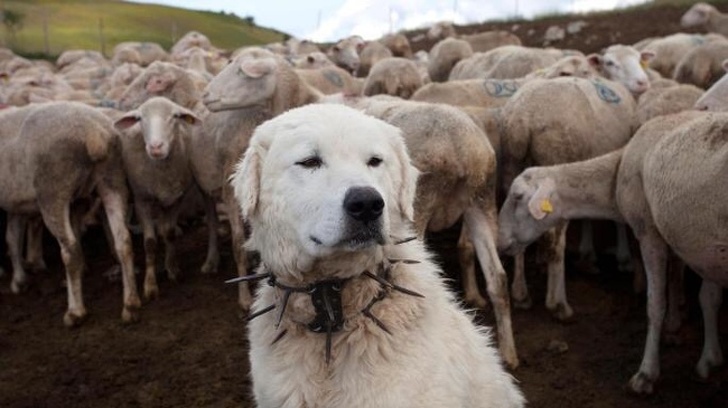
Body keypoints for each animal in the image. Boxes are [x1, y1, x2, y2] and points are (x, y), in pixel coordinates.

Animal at [0, 102, 141, 326]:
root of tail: (94, 132)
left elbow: (12, 239)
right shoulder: (17, 203)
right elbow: (12, 239)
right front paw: (19, 281)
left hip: (53, 191)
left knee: (70, 250)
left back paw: (75, 311)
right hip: (112, 178)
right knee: (124, 240)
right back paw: (131, 306)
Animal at [114, 96, 205, 300]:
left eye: (175, 116)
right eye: (140, 118)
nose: (156, 147)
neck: (161, 171)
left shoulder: (175, 199)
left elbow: (169, 233)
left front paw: (173, 270)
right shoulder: (142, 201)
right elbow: (150, 243)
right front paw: (150, 285)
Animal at [494, 110, 728, 394]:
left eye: (517, 197)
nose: (498, 240)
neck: (616, 170)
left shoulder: (649, 232)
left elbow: (655, 304)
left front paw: (646, 374)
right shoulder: (702, 246)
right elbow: (707, 297)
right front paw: (708, 357)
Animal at [498, 76, 636, 318]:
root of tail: (522, 120)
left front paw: (587, 256)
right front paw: (624, 258)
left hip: (511, 169)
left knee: (518, 236)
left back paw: (521, 294)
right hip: (555, 169)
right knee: (555, 242)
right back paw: (559, 303)